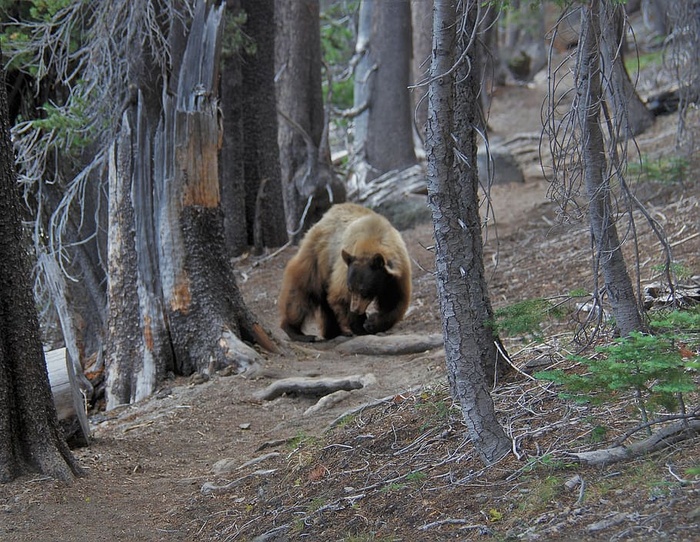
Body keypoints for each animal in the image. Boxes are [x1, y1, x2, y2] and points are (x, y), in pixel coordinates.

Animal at [278, 202, 410, 342]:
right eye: (350, 288)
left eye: (364, 290)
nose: (355, 309)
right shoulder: (344, 269)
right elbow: (340, 296)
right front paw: (361, 327)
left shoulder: (397, 275)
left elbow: (395, 301)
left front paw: (373, 323)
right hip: (316, 259)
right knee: (300, 295)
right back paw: (297, 332)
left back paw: (334, 332)